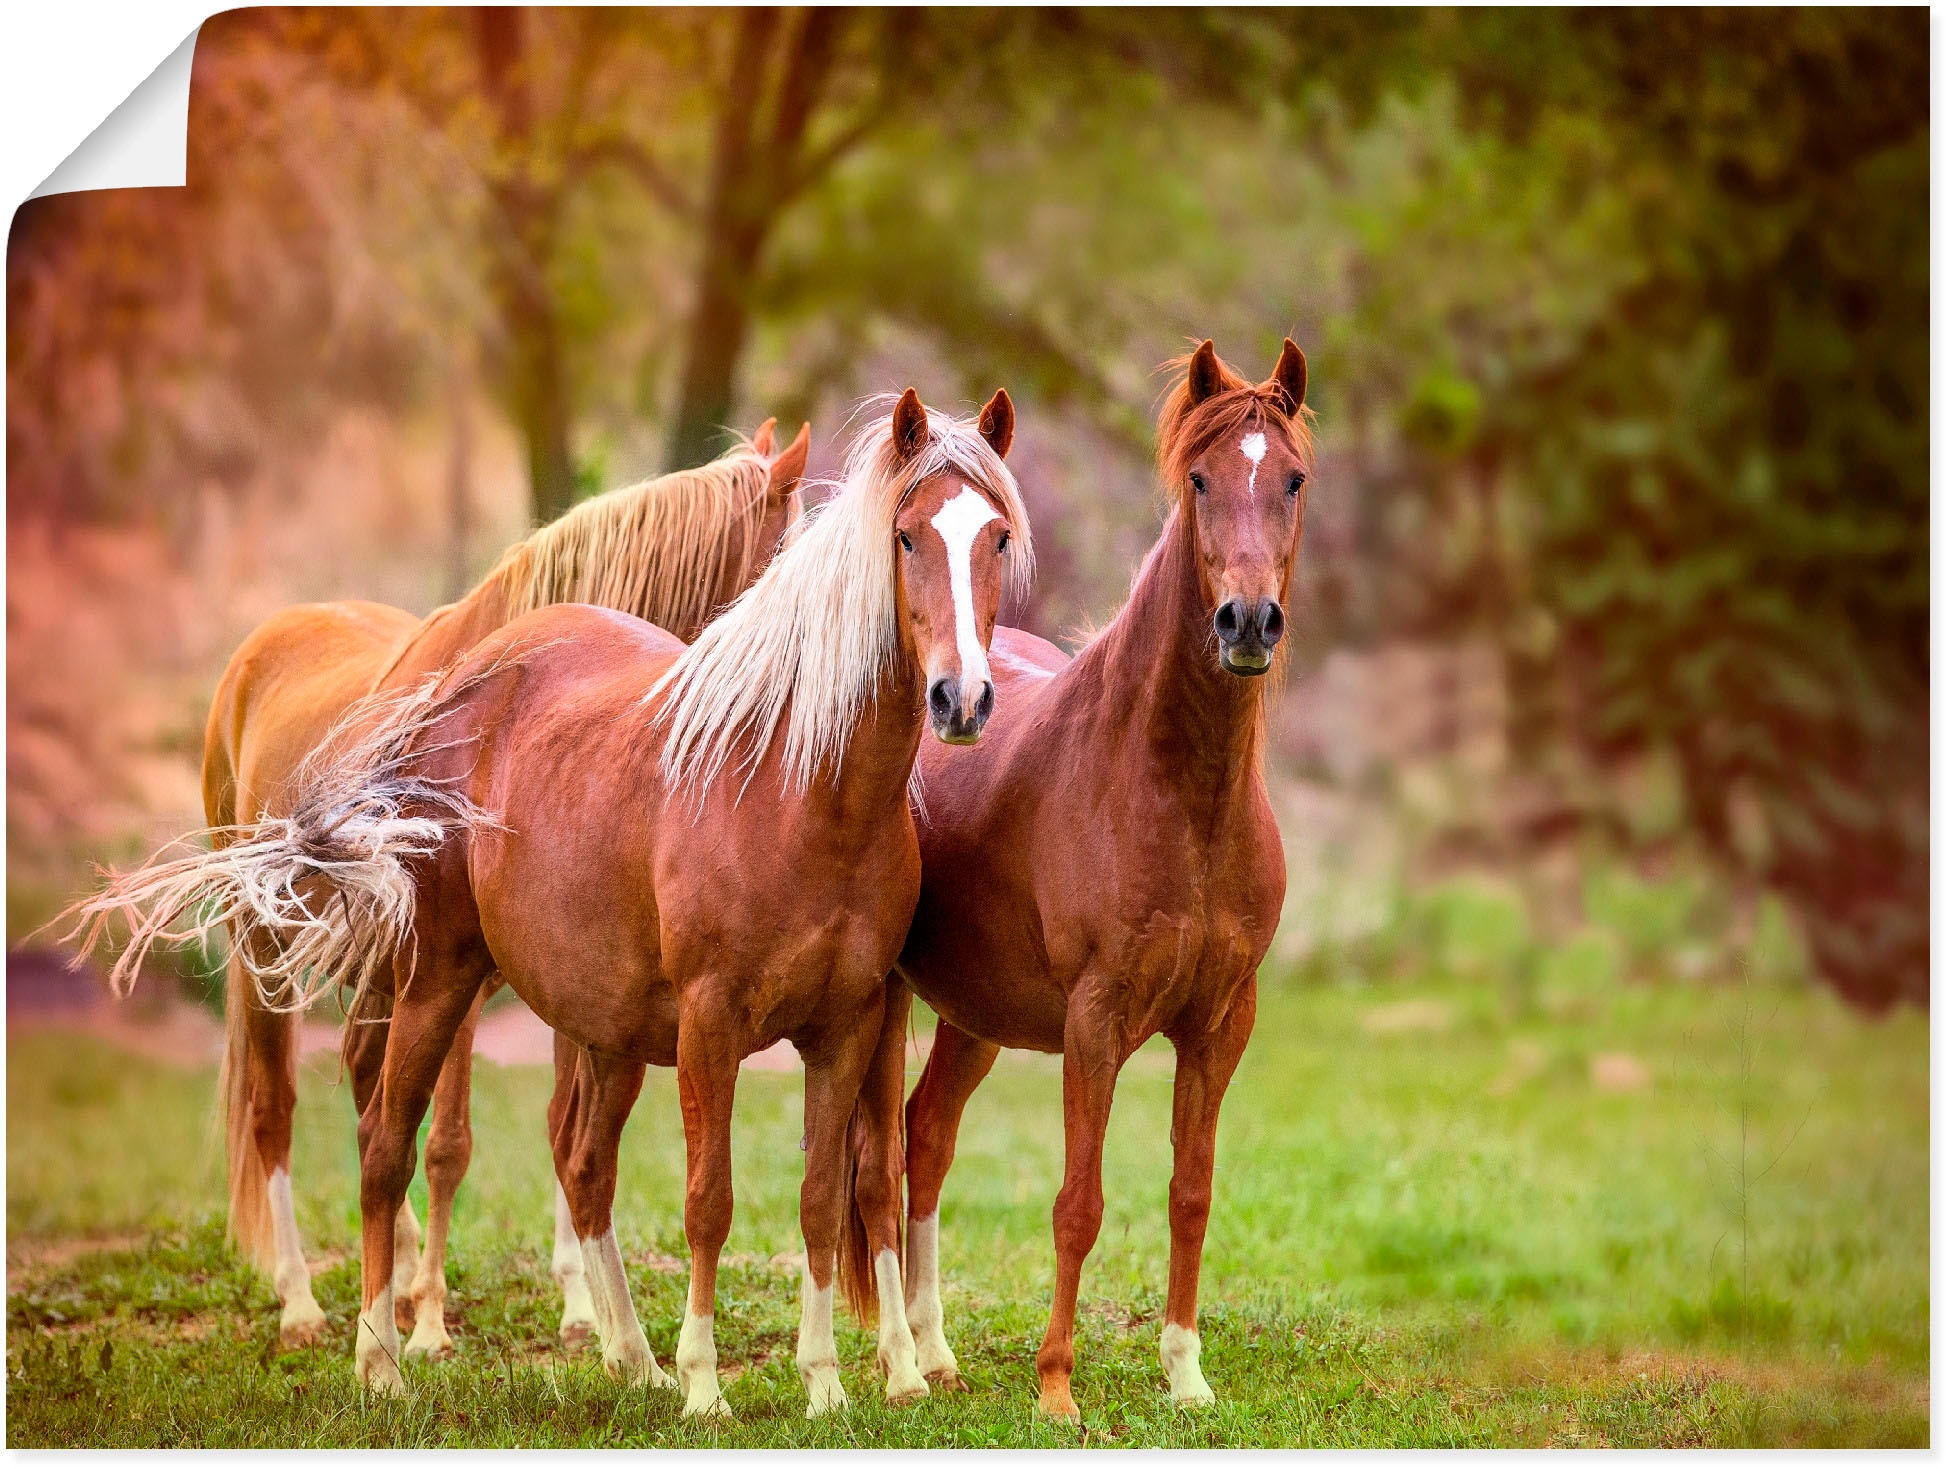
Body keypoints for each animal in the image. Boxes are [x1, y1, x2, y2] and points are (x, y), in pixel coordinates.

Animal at [85, 416, 805, 1354]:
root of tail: (262, 645)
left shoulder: (568, 972)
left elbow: (555, 1128)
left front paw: (579, 1313)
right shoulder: (457, 971)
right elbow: (450, 1141)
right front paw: (428, 1322)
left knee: (366, 1087)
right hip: (267, 946)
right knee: (278, 1109)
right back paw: (306, 1303)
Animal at [844, 336, 1315, 1424]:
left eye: (1292, 478)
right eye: (1198, 479)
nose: (1246, 621)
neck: (1174, 793)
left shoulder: (1221, 1021)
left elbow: (1190, 1192)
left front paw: (1185, 1372)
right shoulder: (1094, 1022)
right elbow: (1078, 1201)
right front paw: (1056, 1387)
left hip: (975, 1014)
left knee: (927, 1135)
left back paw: (938, 1353)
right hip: (886, 1003)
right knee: (880, 1165)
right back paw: (900, 1364)